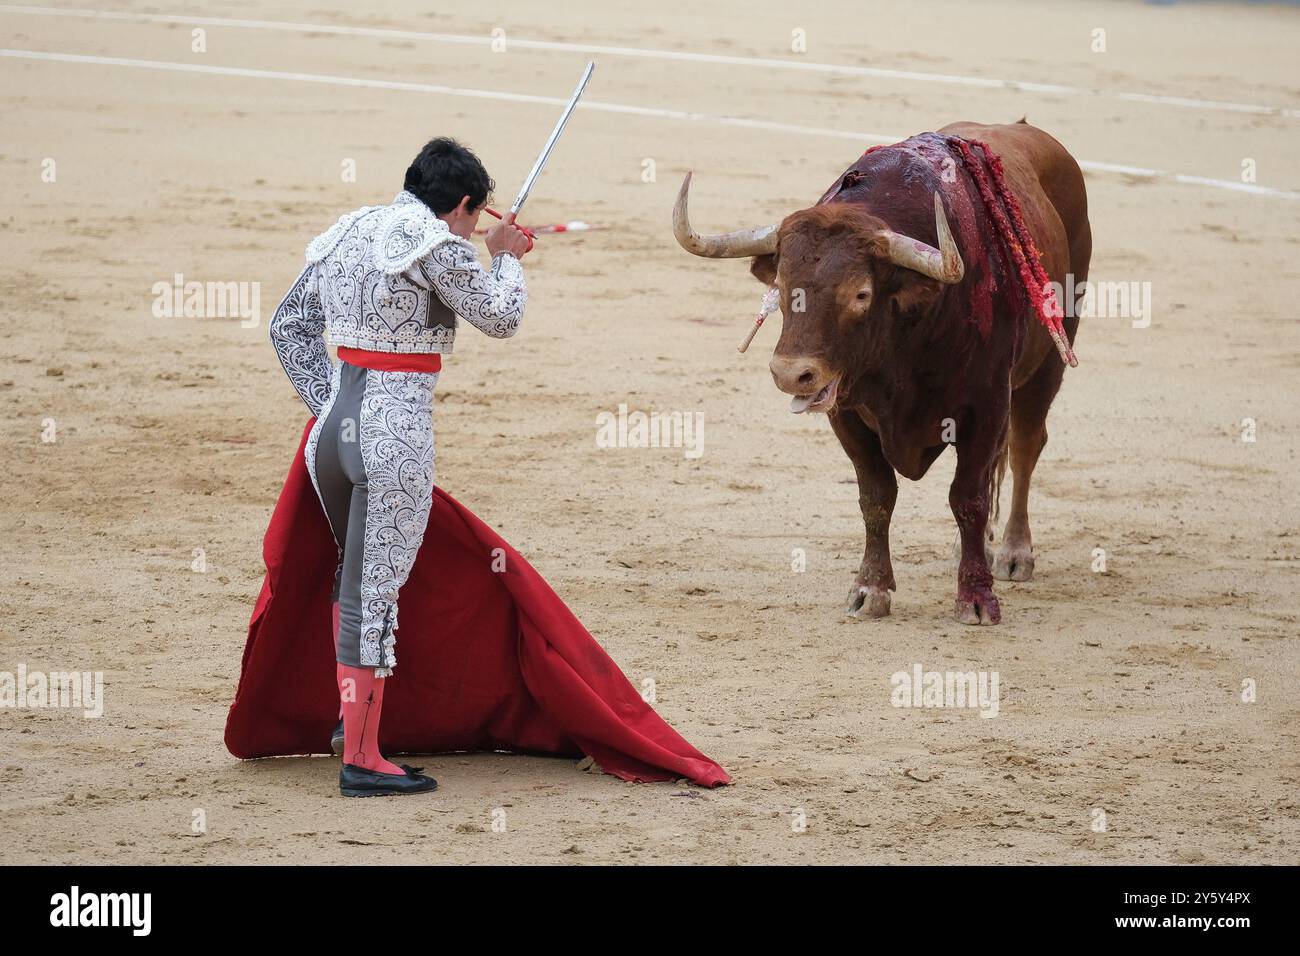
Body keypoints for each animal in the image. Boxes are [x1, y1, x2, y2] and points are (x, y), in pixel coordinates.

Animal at [676, 119, 1092, 624]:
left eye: (861, 293)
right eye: (782, 284)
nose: (791, 374)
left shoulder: (988, 404)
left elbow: (967, 497)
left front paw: (976, 598)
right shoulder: (847, 411)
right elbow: (876, 496)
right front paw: (869, 588)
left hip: (1050, 360)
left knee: (1025, 448)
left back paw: (1014, 553)